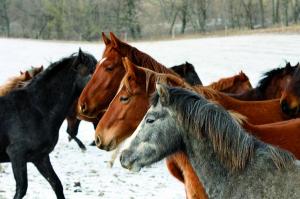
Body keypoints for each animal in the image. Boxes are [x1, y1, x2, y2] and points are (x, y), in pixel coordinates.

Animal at [0, 48, 96, 199]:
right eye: (91, 72)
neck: (37, 109)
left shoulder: (40, 157)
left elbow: (57, 185)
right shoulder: (16, 154)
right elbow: (21, 189)